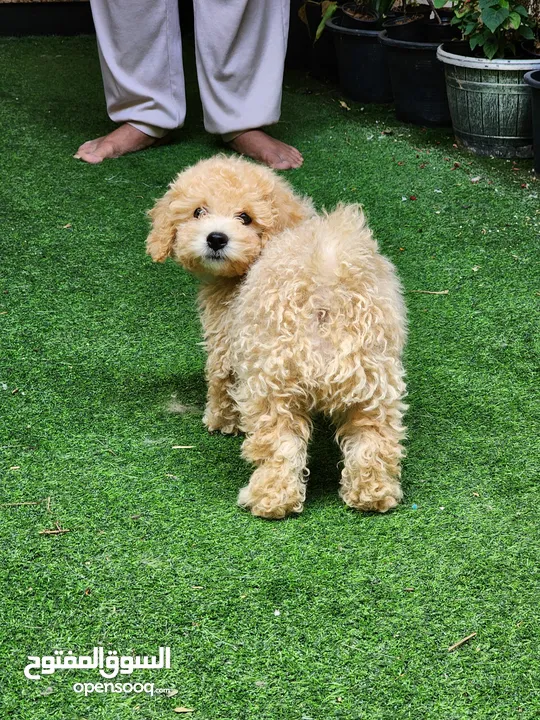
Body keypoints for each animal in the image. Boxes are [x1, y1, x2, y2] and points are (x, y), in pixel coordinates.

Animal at [146, 156, 408, 516]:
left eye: (245, 217)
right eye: (198, 211)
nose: (216, 238)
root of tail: (325, 288)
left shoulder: (226, 339)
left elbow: (220, 380)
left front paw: (219, 421)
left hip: (273, 378)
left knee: (279, 446)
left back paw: (269, 499)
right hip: (371, 378)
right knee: (373, 437)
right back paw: (372, 494)